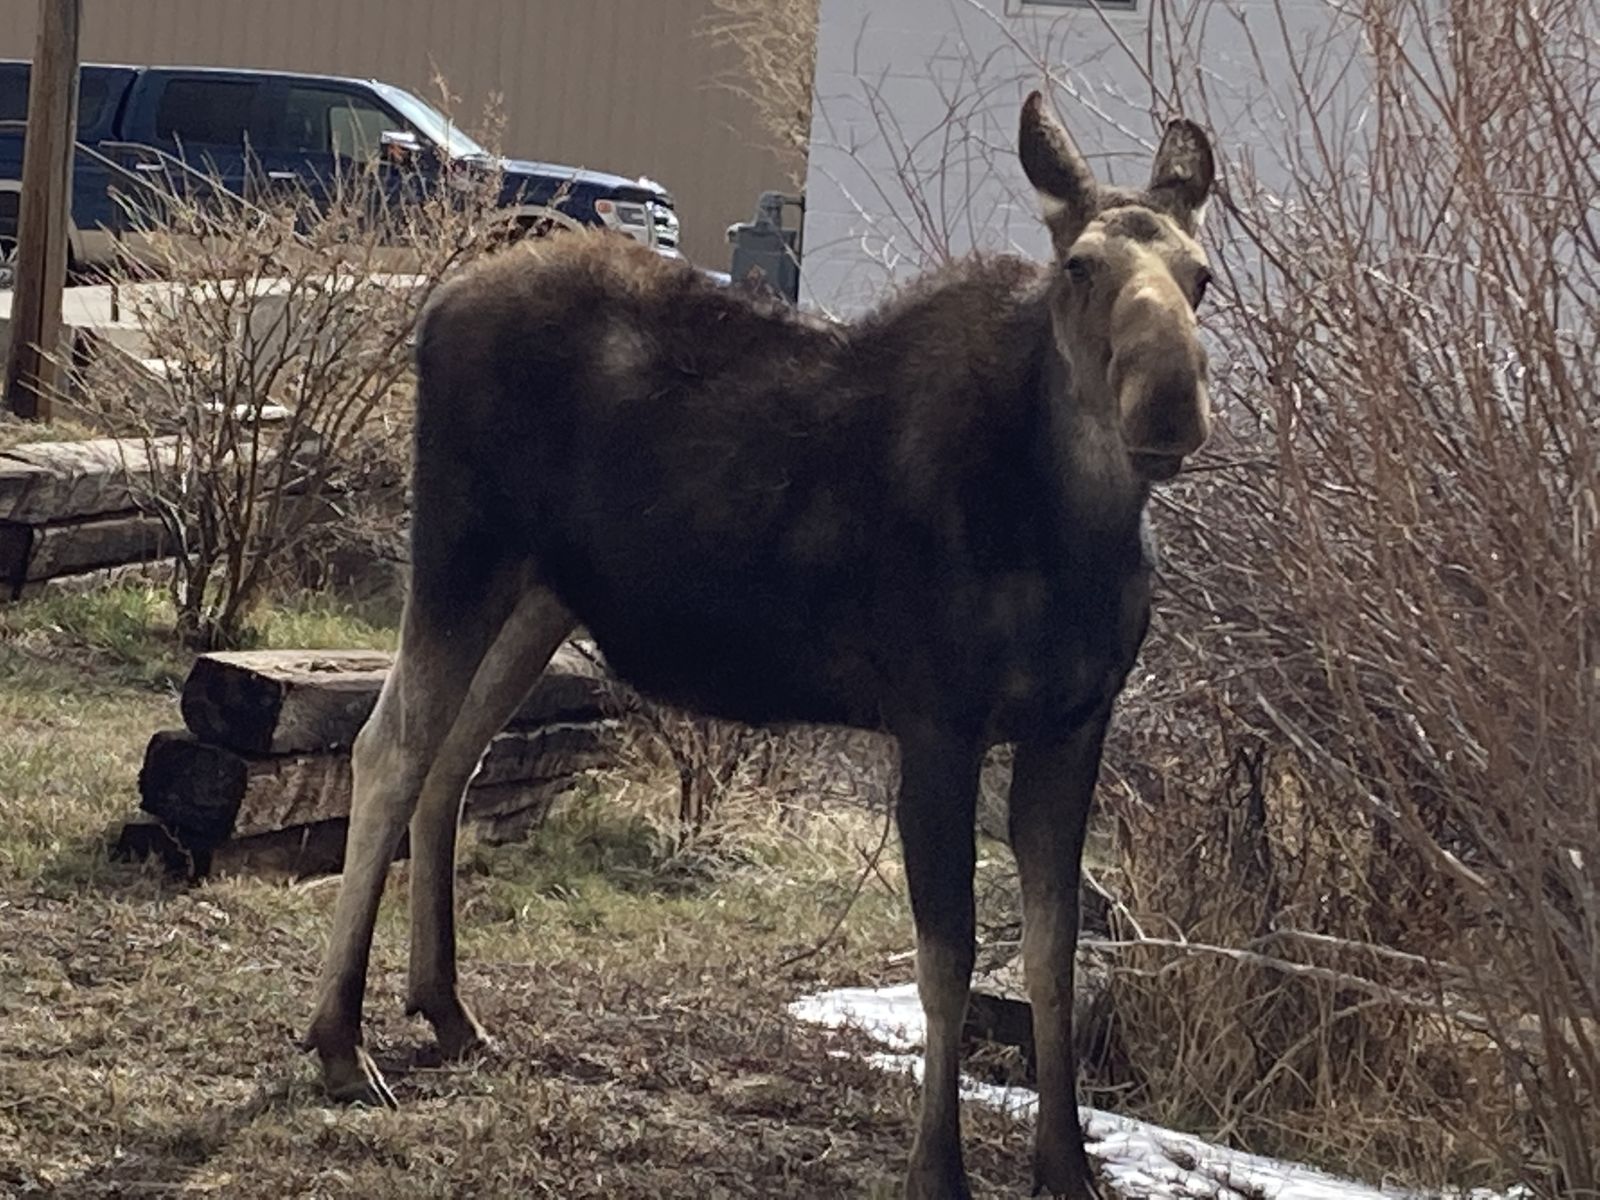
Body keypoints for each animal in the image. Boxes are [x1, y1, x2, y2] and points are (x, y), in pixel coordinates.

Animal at [303, 91, 1216, 1200]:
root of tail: (434, 311)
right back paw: (338, 1039)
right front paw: (937, 1168)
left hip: (539, 596)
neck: (1072, 536)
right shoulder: (937, 721)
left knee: (453, 763)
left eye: (1202, 277)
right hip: (460, 551)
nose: (1170, 402)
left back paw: (444, 1007)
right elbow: (947, 959)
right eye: (1079, 265)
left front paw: (1067, 1167)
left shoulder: (1072, 726)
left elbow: (1052, 956)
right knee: (390, 748)